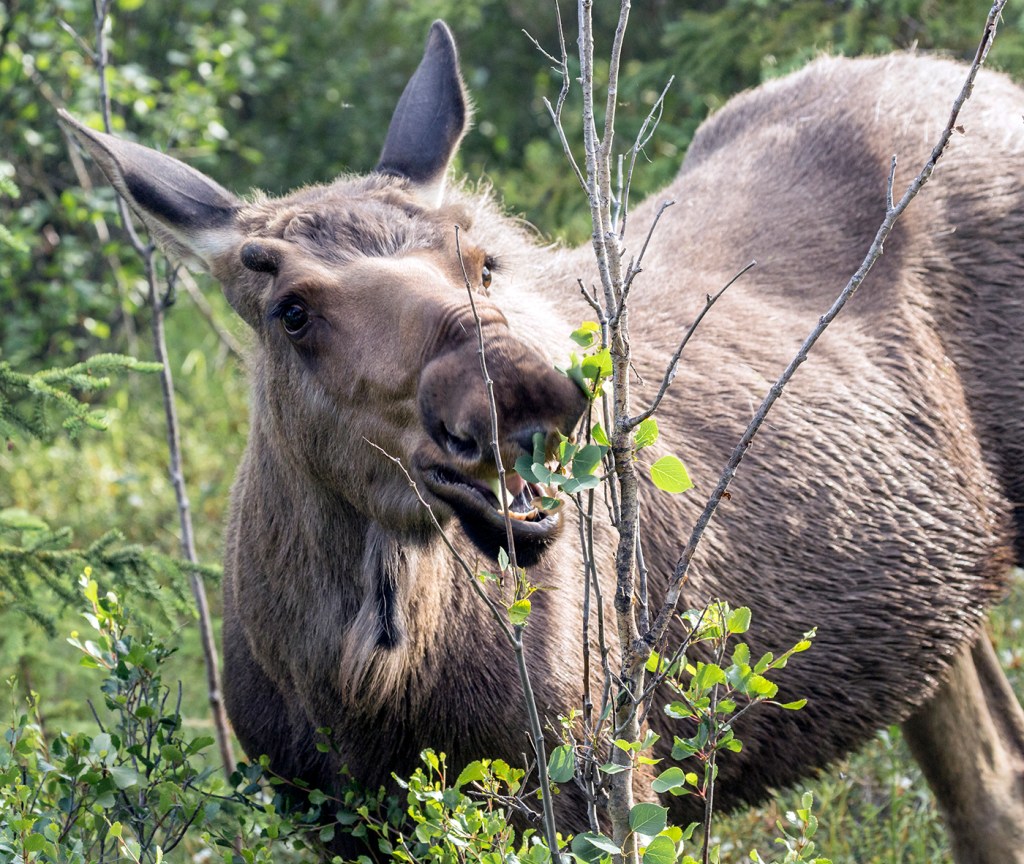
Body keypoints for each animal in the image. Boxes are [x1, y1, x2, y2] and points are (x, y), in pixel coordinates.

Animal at [60, 18, 1024, 864]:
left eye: (480, 259)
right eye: (290, 310)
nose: (523, 388)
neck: (361, 684)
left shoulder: (600, 783)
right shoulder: (328, 818)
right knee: (990, 779)